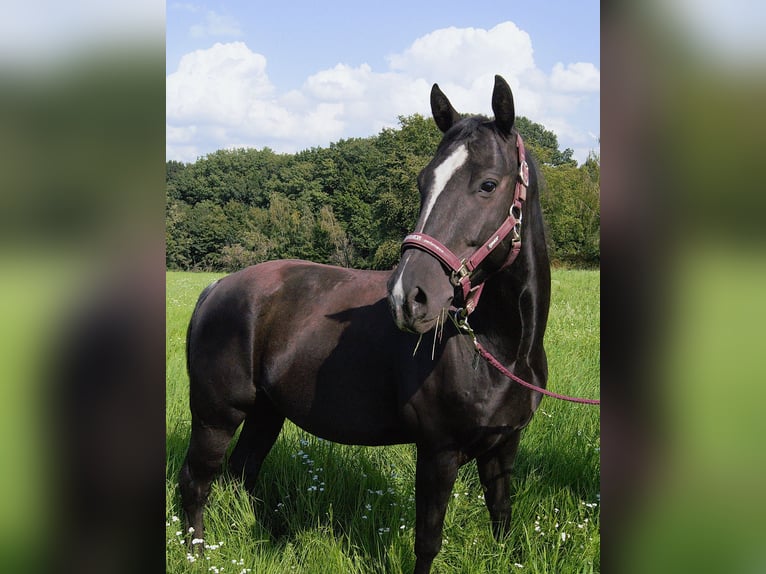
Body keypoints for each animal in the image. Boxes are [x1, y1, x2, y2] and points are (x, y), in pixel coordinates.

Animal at [178, 75, 550, 574]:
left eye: (488, 184)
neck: (498, 349)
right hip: (216, 417)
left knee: (241, 475)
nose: (409, 296)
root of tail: (216, 288)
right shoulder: (438, 452)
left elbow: (502, 519)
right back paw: (197, 554)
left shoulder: (503, 447)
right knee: (196, 482)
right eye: (422, 183)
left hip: (265, 413)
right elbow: (428, 541)